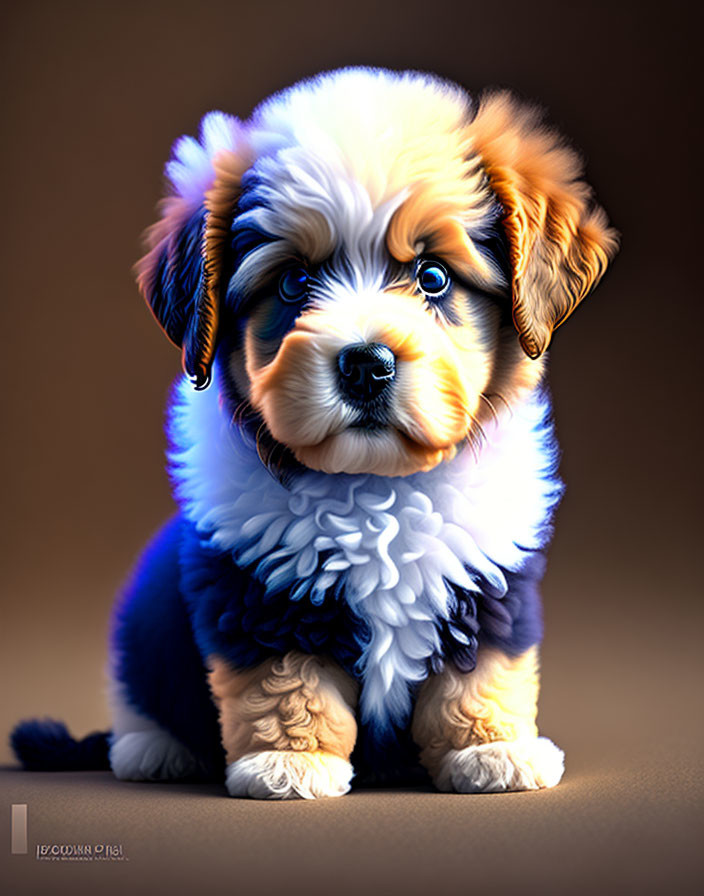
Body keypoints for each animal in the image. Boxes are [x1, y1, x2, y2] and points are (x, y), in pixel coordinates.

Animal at [11, 70, 616, 800]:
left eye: (434, 277)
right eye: (295, 282)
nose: (366, 365)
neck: (374, 486)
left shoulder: (490, 574)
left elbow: (481, 669)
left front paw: (493, 748)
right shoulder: (255, 590)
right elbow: (284, 682)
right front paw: (288, 762)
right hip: (143, 627)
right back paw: (152, 749)